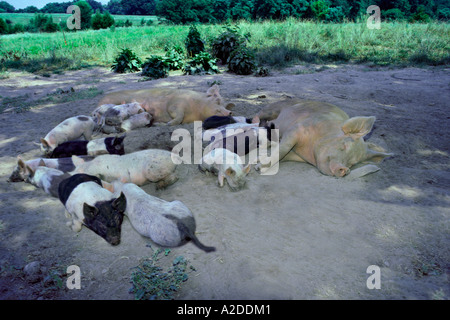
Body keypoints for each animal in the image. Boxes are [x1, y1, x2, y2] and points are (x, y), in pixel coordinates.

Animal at [98, 84, 236, 125]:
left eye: (226, 105)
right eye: (217, 100)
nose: (229, 112)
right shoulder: (175, 104)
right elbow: (177, 115)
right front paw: (169, 123)